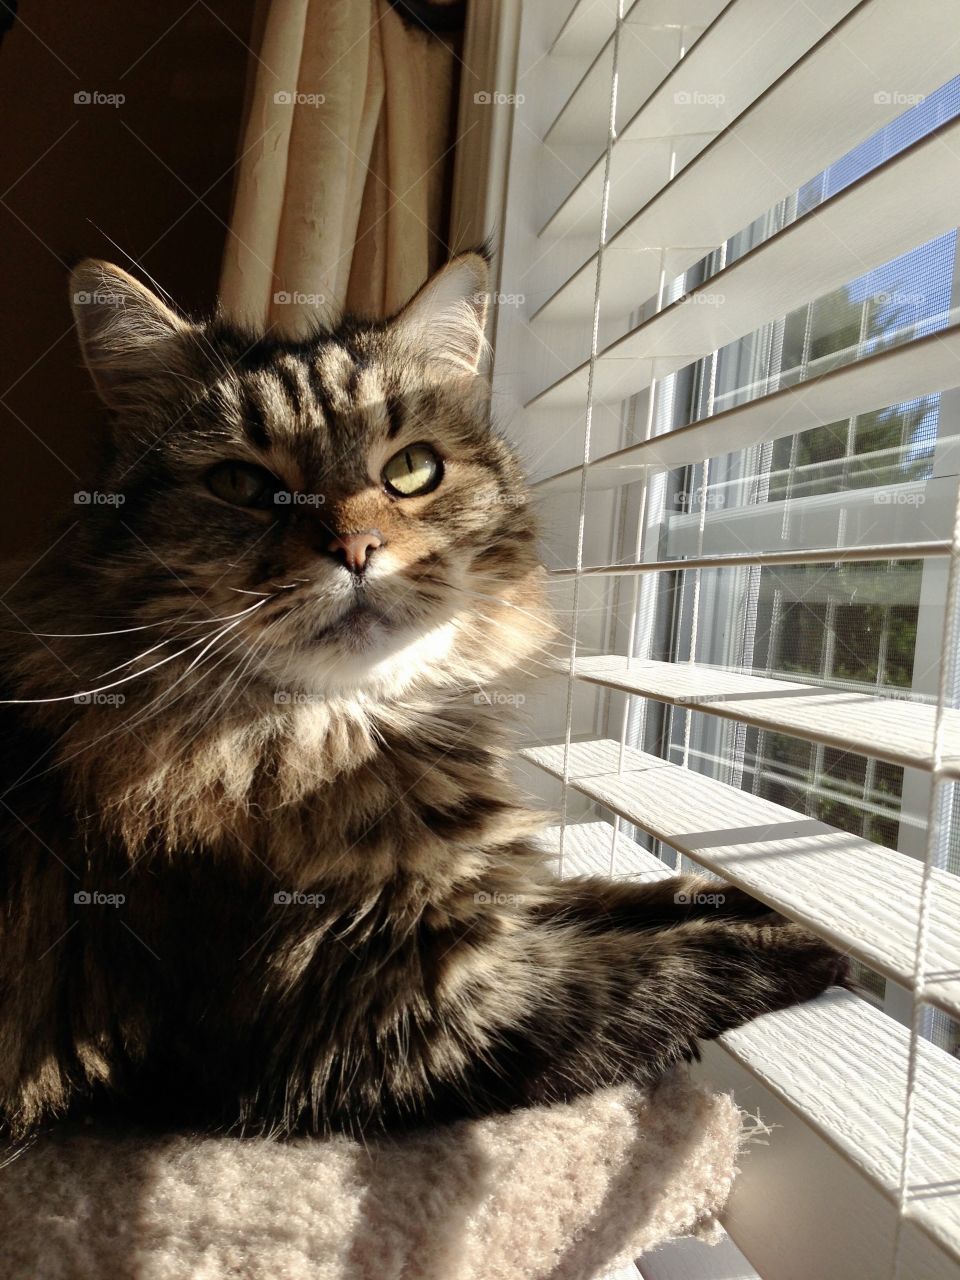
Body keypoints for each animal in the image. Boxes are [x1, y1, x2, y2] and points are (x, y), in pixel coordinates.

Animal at [0, 254, 849, 1136]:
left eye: (411, 471)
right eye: (241, 483)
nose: (356, 548)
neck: (343, 734)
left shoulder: (494, 902)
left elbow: (610, 897)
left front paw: (745, 900)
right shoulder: (396, 1021)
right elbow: (650, 970)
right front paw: (799, 944)